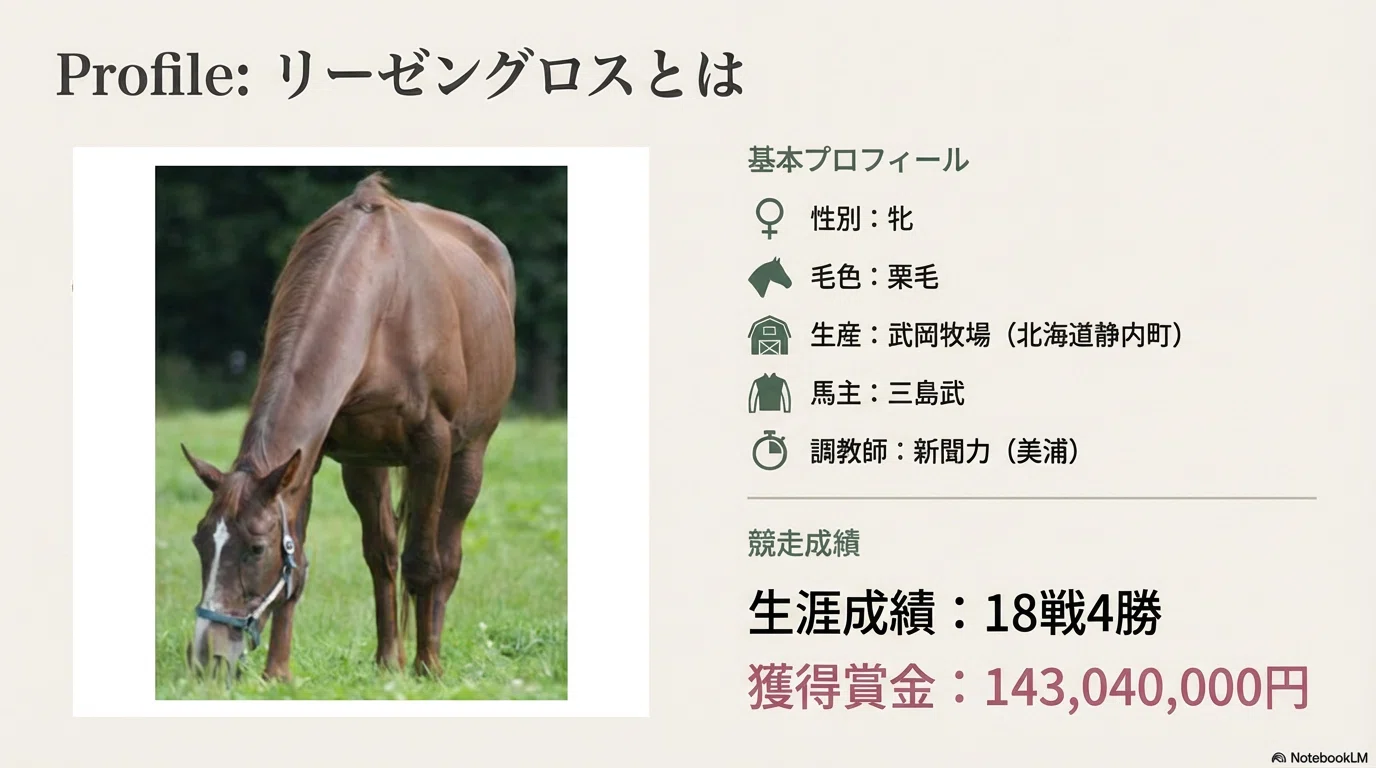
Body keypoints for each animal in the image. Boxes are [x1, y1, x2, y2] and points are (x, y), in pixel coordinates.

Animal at [178, 172, 517, 681]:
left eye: (255, 549)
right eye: (201, 541)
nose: (207, 657)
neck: (384, 301)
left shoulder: (433, 449)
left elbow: (425, 563)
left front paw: (428, 667)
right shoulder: (311, 459)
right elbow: (300, 565)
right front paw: (278, 673)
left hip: (468, 453)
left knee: (446, 555)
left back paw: (424, 658)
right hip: (365, 464)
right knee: (382, 555)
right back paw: (387, 660)